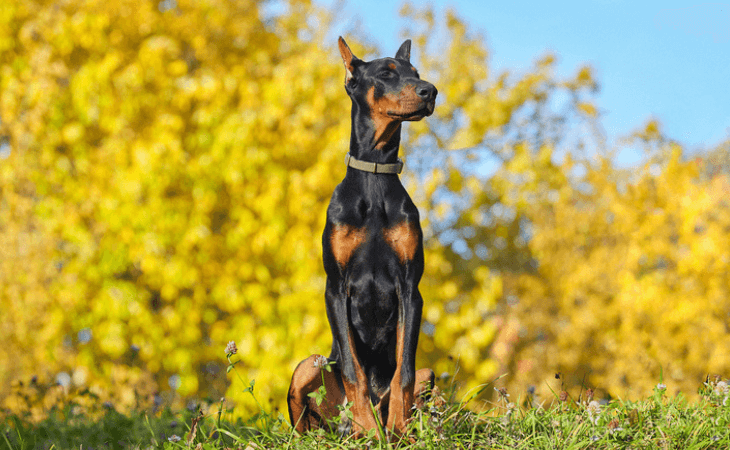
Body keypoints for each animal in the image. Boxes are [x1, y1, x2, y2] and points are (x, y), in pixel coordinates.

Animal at [288, 37, 436, 438]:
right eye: (386, 73)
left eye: (416, 73)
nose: (431, 91)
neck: (375, 173)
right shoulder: (336, 287)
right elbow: (354, 372)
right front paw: (369, 430)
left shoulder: (410, 288)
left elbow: (404, 371)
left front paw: (397, 428)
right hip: (311, 364)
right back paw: (344, 428)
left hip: (430, 374)